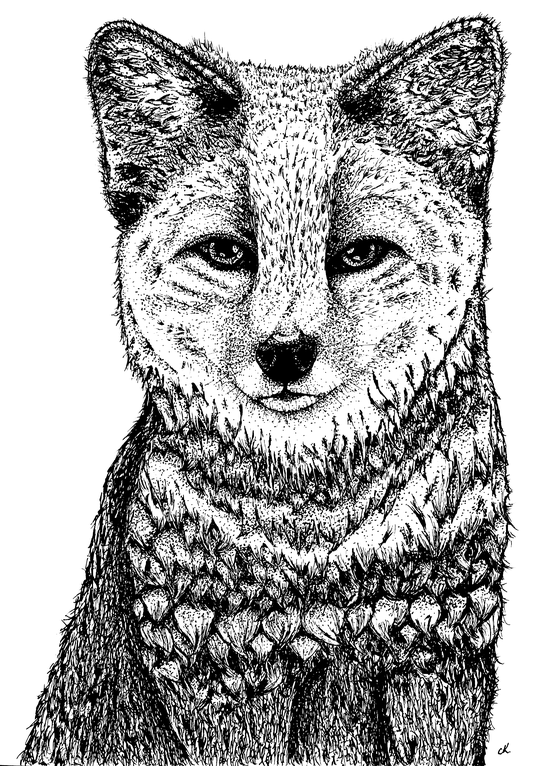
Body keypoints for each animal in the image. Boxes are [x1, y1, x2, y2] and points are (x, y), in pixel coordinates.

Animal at [22, 15, 509, 766]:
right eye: (227, 253)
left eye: (359, 254)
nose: (286, 353)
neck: (319, 540)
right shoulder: (219, 676)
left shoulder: (439, 654)